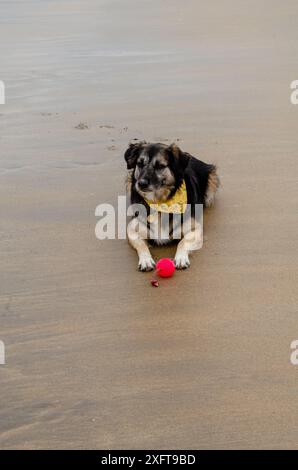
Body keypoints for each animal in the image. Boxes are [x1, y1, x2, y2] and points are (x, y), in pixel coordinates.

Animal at [123, 141, 219, 270]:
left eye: (160, 166)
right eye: (140, 164)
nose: (141, 184)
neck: (159, 201)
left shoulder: (196, 228)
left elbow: (183, 242)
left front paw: (181, 258)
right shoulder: (132, 228)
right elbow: (141, 245)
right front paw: (146, 260)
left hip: (212, 181)